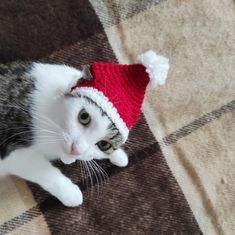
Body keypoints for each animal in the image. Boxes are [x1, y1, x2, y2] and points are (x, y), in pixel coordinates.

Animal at [0, 61, 129, 207]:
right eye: (84, 116)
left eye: (103, 144)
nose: (76, 149)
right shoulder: (10, 148)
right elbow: (43, 171)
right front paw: (70, 193)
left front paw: (119, 155)